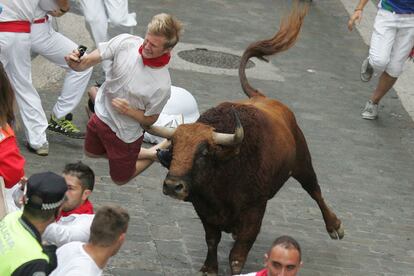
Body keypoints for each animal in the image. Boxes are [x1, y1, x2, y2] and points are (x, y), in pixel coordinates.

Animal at [147, 1, 344, 274]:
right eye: (174, 146)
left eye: (204, 152)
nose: (173, 186)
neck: (225, 173)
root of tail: (262, 97)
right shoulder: (204, 211)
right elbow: (212, 240)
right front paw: (209, 267)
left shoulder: (254, 211)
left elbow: (238, 255)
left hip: (303, 164)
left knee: (315, 190)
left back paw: (335, 226)